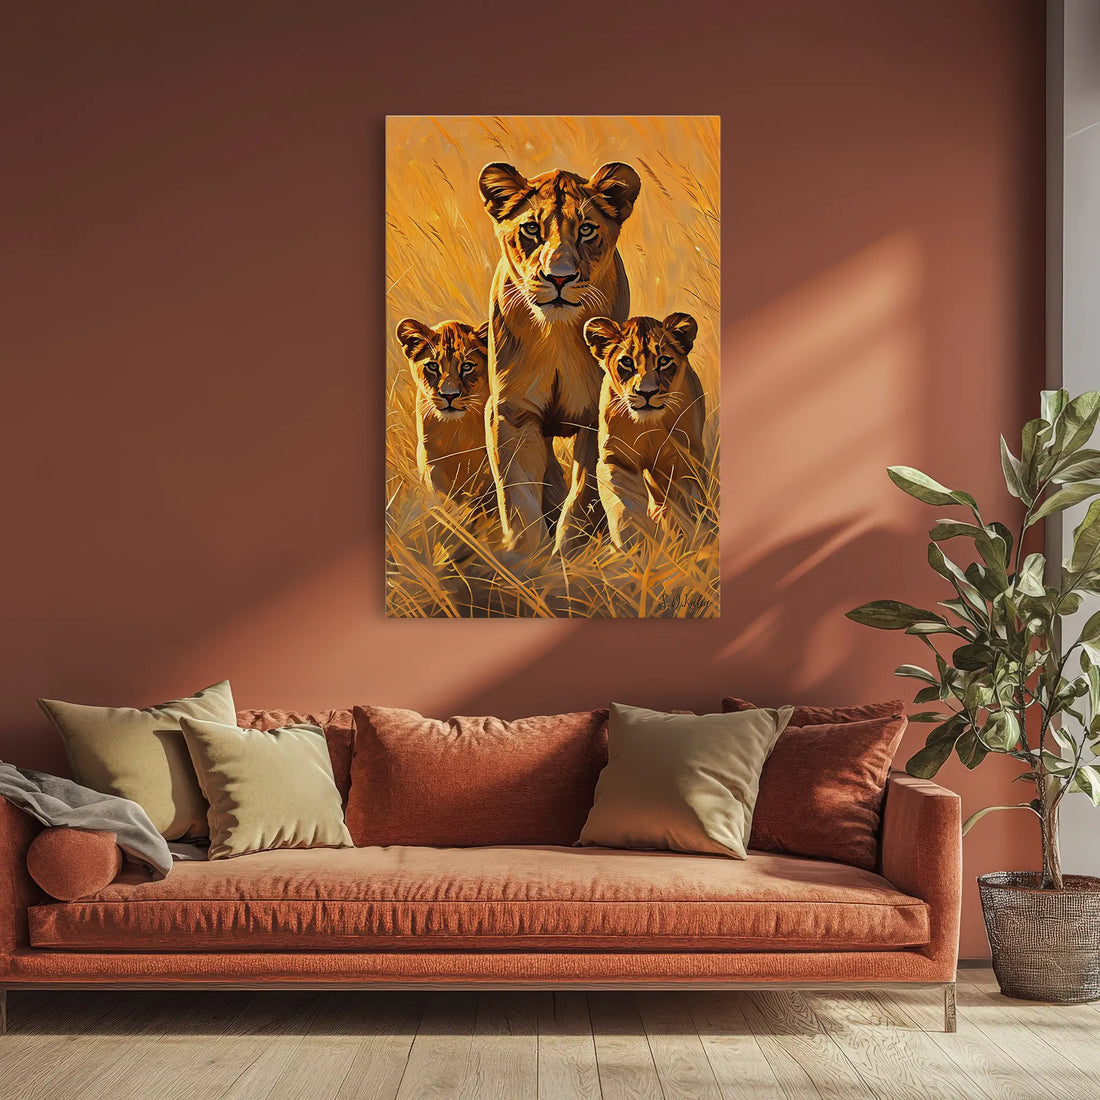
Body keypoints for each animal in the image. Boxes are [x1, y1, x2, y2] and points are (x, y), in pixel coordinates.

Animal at [395, 317, 496, 509]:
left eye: (467, 366)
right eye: (433, 366)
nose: (450, 395)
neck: (456, 435)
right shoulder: (432, 466)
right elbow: (446, 504)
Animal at [477, 160, 642, 555]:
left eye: (586, 229)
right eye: (531, 229)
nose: (560, 278)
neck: (557, 336)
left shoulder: (595, 418)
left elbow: (584, 495)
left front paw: (570, 554)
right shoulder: (511, 412)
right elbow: (518, 494)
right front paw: (526, 558)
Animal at [583, 312, 708, 551]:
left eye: (664, 361)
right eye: (626, 361)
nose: (646, 393)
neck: (648, 426)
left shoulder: (682, 458)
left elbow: (682, 503)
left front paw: (684, 539)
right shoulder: (616, 458)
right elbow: (624, 506)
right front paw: (634, 546)